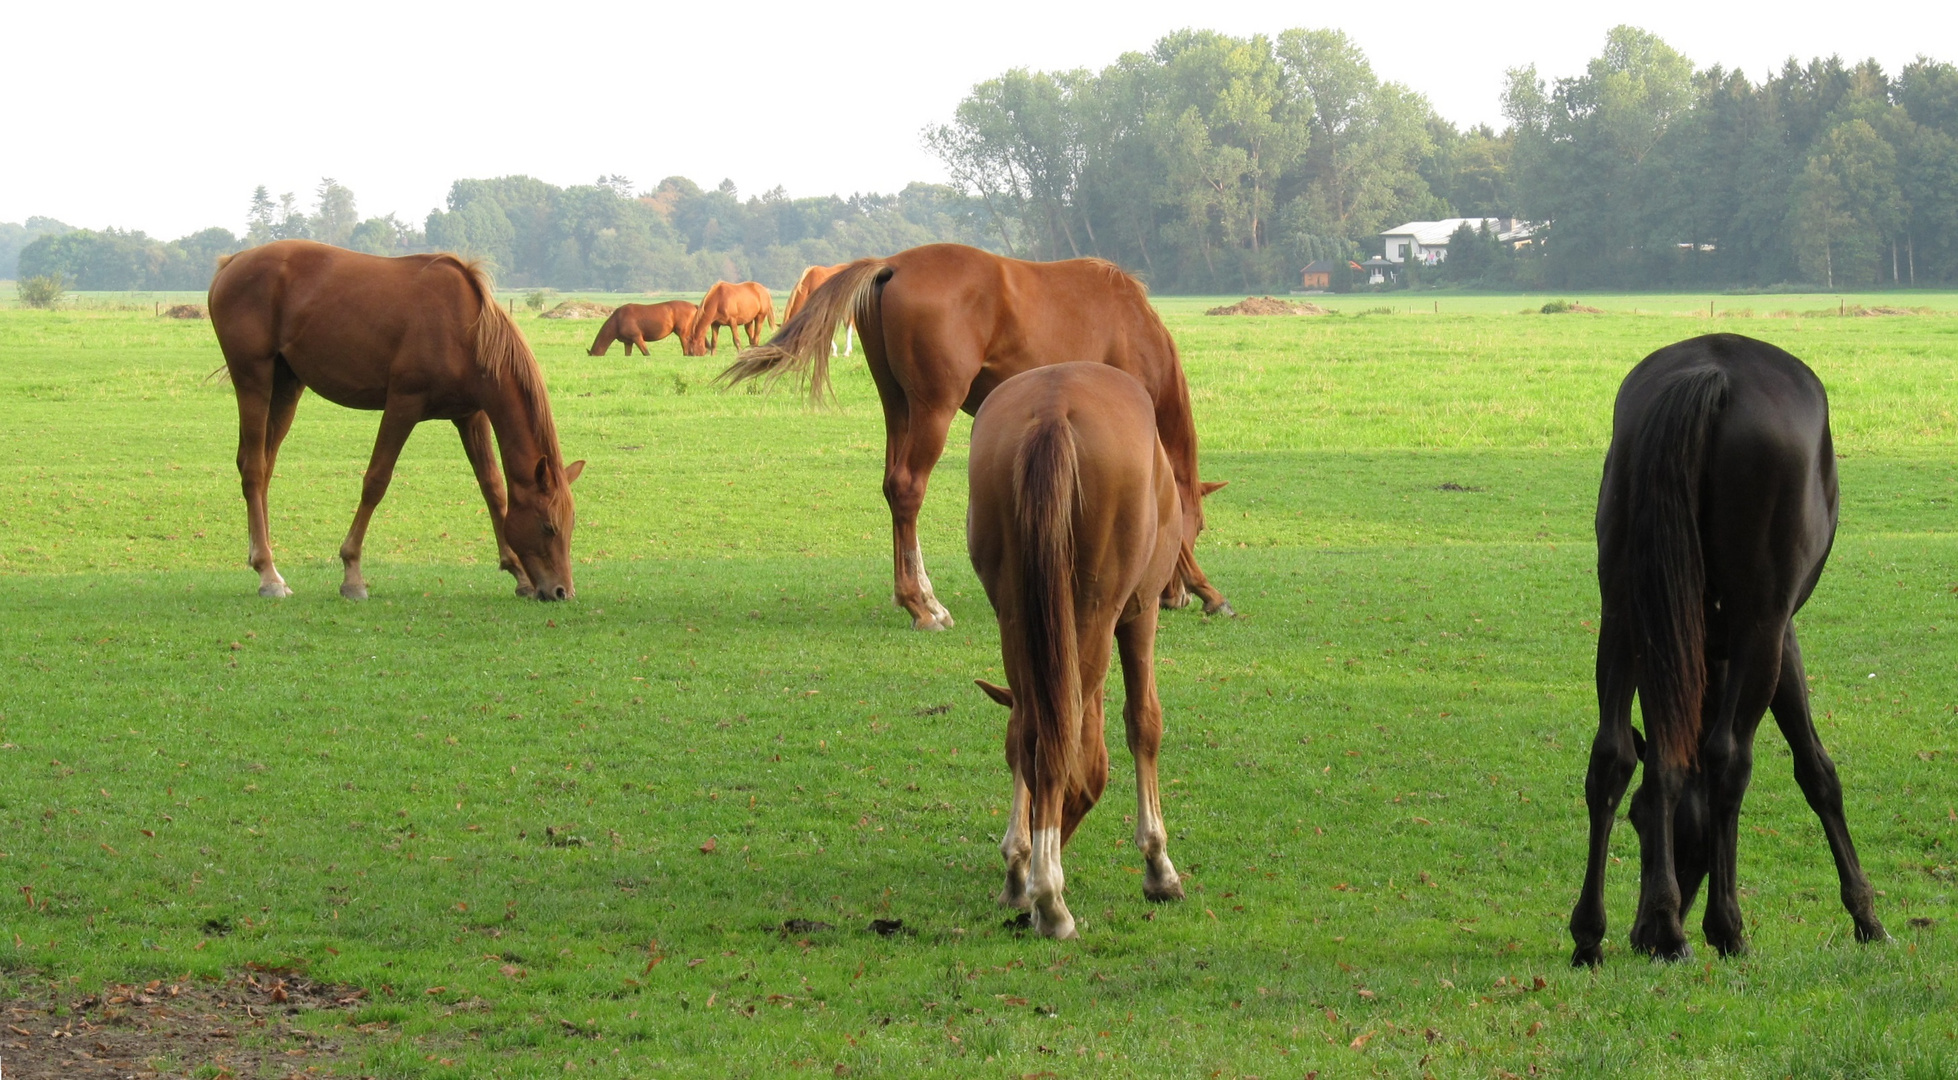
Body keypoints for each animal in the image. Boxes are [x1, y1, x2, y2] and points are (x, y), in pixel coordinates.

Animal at [213, 237, 583, 602]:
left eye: (570, 525)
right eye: (547, 526)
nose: (561, 591)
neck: (465, 329)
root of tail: (233, 262)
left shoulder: (470, 416)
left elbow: (492, 487)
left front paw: (517, 573)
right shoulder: (403, 406)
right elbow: (376, 482)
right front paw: (353, 575)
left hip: (287, 387)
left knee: (263, 467)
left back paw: (270, 567)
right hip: (254, 380)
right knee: (254, 469)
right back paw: (267, 574)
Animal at [728, 242, 1229, 633]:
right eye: (1201, 525)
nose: (1173, 597)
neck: (1133, 326)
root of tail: (891, 267)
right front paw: (1206, 589)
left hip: (899, 408)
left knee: (892, 488)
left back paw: (918, 599)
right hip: (933, 409)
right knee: (907, 489)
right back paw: (922, 605)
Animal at [963, 361, 1174, 935]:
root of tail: (1053, 409)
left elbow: (1023, 742)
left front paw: (1016, 865)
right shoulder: (1141, 612)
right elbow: (1143, 723)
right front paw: (1158, 867)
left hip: (1016, 615)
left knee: (1036, 732)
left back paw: (1033, 884)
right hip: (1100, 613)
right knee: (1059, 740)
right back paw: (1051, 899)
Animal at [1566, 332, 1887, 966]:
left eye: (1642, 822)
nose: (1641, 937)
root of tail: (1712, 373)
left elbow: (1658, 767)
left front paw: (1660, 919)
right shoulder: (1780, 637)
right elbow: (1816, 770)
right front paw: (1865, 914)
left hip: (1624, 611)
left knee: (1613, 755)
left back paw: (1597, 933)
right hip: (1759, 627)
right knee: (1727, 759)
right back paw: (1724, 926)